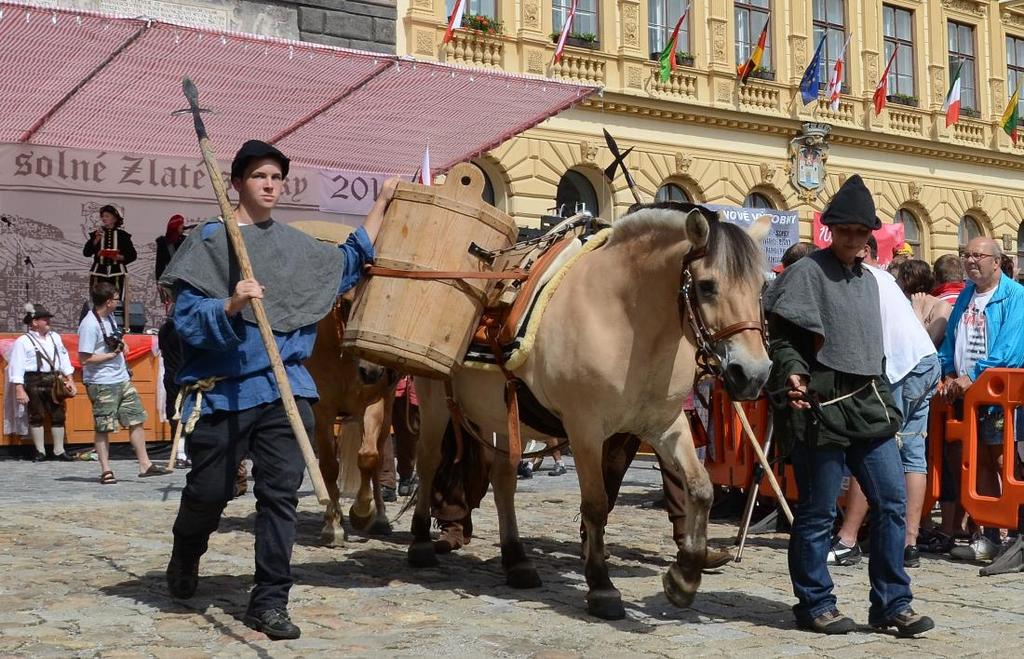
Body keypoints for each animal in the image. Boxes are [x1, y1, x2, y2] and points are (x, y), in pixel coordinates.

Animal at [405, 203, 770, 622]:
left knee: (503, 481)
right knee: (428, 463)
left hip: (498, 417)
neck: (625, 321)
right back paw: (420, 542)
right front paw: (601, 586)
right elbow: (595, 504)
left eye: (761, 287)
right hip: (434, 401)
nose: (753, 374)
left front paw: (684, 577)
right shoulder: (585, 431)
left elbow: (701, 488)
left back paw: (516, 560)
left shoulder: (665, 425)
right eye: (707, 286)